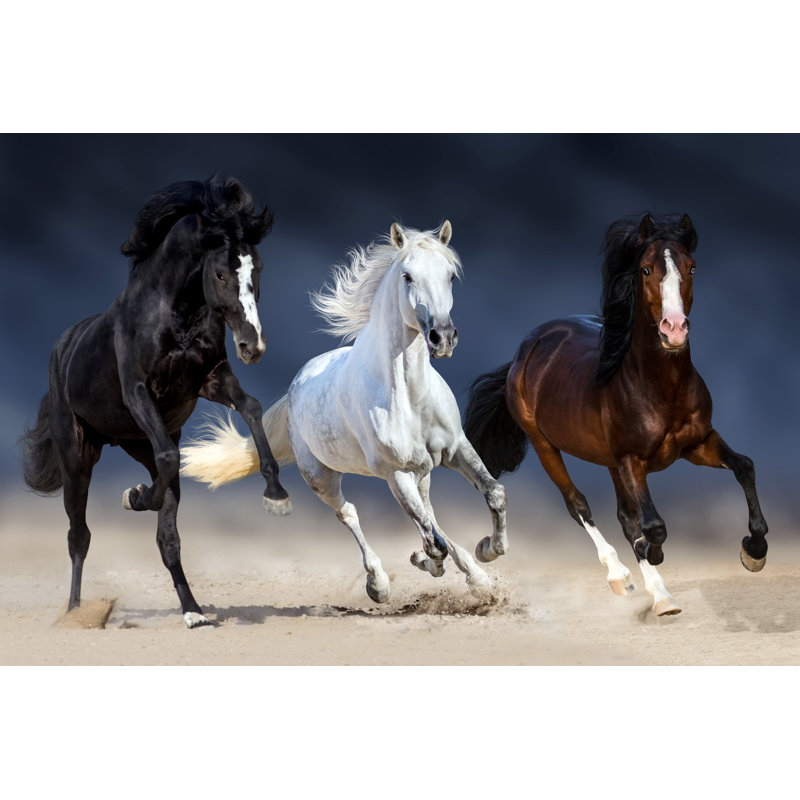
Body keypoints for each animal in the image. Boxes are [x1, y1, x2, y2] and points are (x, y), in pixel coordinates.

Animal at [20, 174, 291, 629]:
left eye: (258, 269)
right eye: (221, 273)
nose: (253, 347)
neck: (174, 314)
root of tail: (64, 346)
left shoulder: (211, 379)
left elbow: (252, 407)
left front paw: (277, 494)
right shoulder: (139, 392)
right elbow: (167, 456)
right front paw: (134, 496)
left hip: (135, 443)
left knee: (167, 536)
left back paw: (193, 612)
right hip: (78, 457)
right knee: (79, 536)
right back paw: (75, 613)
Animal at [181, 221, 508, 603]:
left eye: (451, 275)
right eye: (407, 276)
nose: (442, 337)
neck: (409, 397)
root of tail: (295, 387)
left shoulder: (455, 448)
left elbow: (493, 493)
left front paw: (488, 550)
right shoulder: (396, 473)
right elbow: (433, 542)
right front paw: (428, 562)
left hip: (421, 473)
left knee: (429, 513)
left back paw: (476, 575)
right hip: (323, 478)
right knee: (351, 514)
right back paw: (378, 584)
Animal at [464, 213, 768, 616]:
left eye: (691, 267)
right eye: (645, 268)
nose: (674, 329)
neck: (661, 386)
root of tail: (526, 349)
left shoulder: (699, 444)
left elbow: (744, 467)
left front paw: (755, 551)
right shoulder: (631, 460)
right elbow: (654, 525)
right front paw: (654, 555)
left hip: (608, 460)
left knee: (625, 518)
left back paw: (659, 594)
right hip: (545, 445)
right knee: (579, 505)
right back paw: (625, 578)